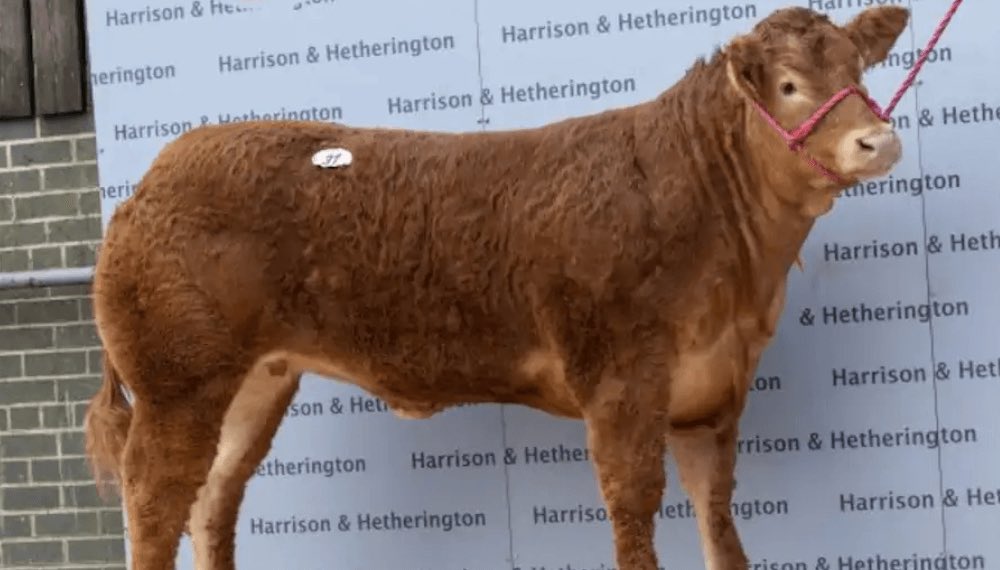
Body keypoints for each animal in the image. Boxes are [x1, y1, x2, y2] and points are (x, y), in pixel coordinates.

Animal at [84, 5, 909, 570]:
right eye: (790, 86)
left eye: (858, 74)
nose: (879, 140)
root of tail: (151, 182)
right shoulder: (620, 379)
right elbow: (633, 506)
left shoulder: (713, 395)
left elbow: (719, 521)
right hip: (178, 380)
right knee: (154, 501)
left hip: (255, 381)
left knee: (213, 499)